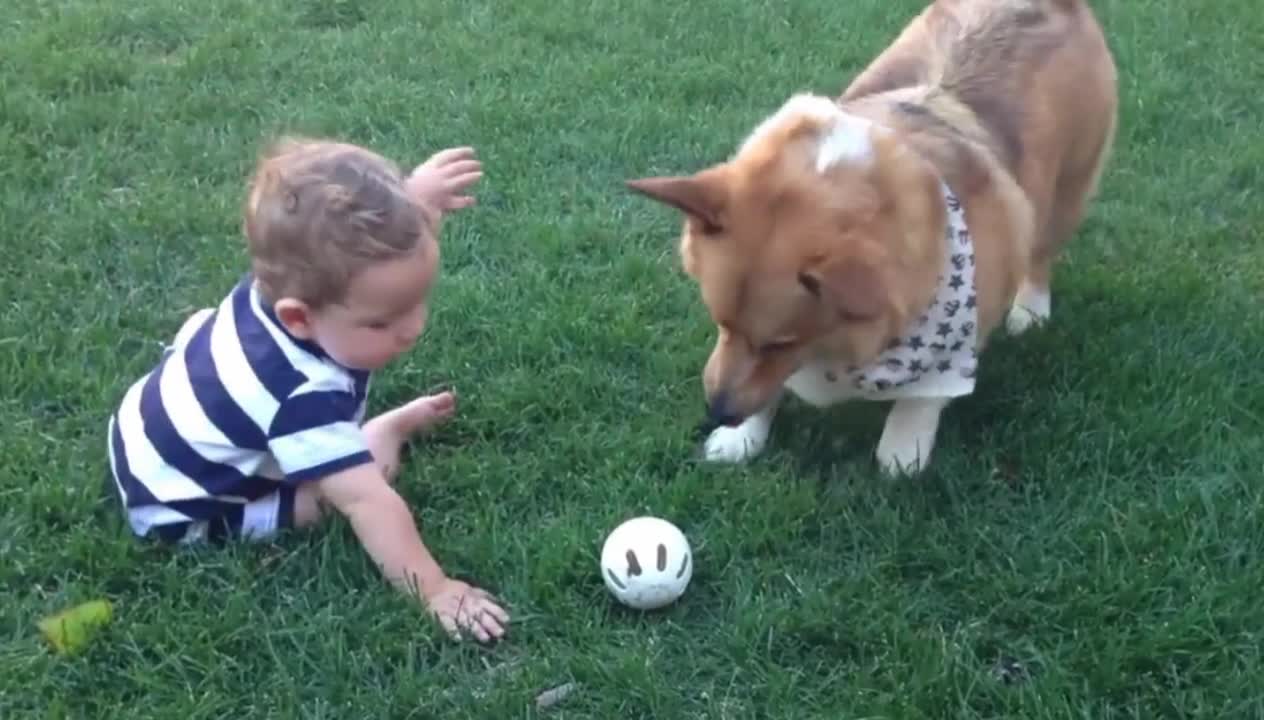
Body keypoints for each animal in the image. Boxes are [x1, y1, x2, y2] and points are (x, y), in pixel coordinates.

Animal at [626, 1, 1112, 477]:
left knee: (1042, 250)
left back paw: (1031, 310)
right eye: (721, 323)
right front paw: (739, 439)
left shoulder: (959, 334)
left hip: (1067, 191)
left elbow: (919, 406)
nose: (716, 412)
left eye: (780, 342)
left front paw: (903, 452)